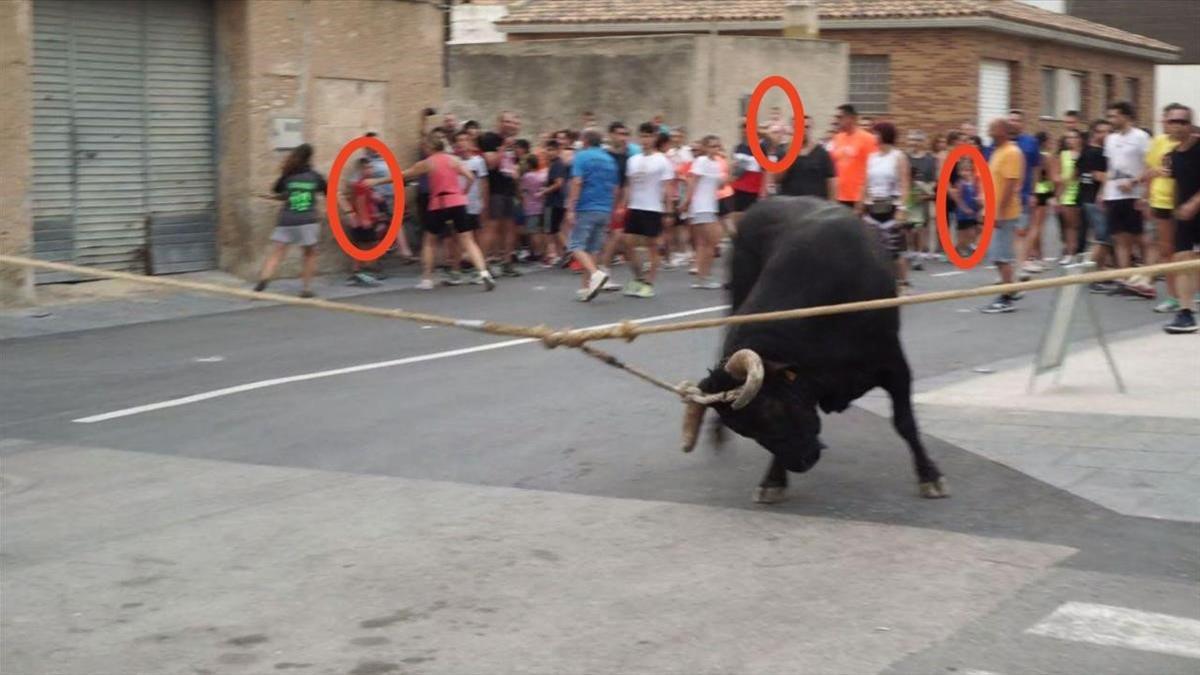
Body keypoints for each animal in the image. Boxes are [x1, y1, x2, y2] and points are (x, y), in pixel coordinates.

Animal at [686, 194, 945, 499]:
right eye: (744, 429)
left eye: (771, 409)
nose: (803, 462)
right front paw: (772, 481)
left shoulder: (895, 365)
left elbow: (905, 422)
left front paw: (930, 476)